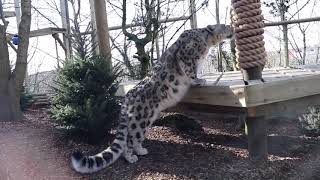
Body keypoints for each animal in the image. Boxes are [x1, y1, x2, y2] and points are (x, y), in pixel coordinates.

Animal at [71, 23, 234, 173]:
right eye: (225, 26)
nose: (232, 28)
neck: (207, 42)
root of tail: (126, 98)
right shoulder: (187, 56)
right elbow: (190, 71)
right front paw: (199, 80)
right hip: (140, 119)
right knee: (130, 139)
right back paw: (130, 157)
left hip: (145, 119)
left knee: (136, 136)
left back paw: (141, 150)